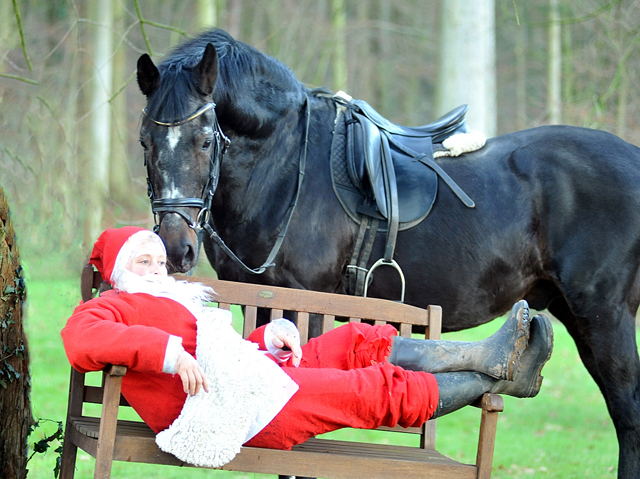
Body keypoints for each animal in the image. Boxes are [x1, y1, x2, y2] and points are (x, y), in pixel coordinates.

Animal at [136, 29, 640, 476]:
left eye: (206, 140)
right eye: (144, 142)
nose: (177, 247)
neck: (283, 166)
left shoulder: (305, 303)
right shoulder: (260, 302)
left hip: (604, 316)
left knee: (627, 409)